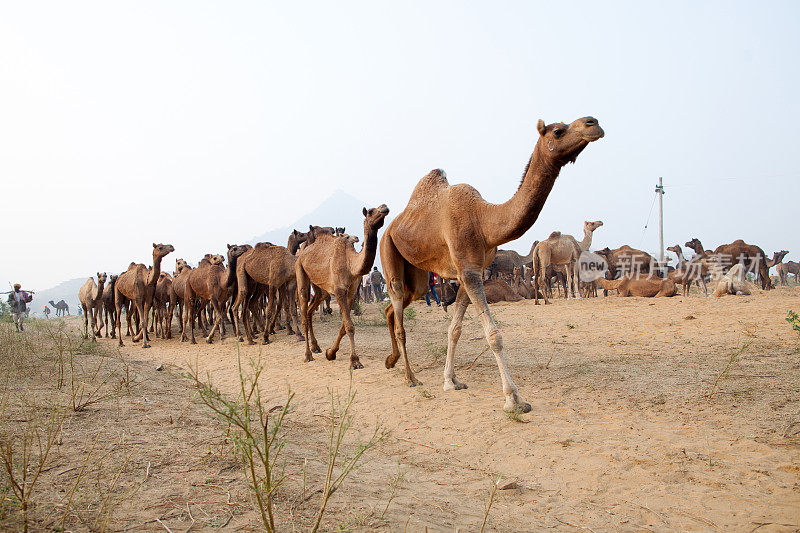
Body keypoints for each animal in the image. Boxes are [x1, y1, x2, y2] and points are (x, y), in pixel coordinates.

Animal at [296, 204, 390, 366]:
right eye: (370, 211)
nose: (384, 207)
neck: (350, 263)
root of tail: (301, 253)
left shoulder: (352, 290)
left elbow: (344, 327)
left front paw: (330, 352)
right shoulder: (339, 290)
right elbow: (349, 326)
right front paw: (355, 360)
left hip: (320, 286)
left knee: (311, 308)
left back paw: (316, 347)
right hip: (300, 270)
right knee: (303, 306)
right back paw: (308, 355)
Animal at [380, 114, 600, 410]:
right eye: (557, 130)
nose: (593, 123)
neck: (483, 220)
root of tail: (393, 225)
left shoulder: (469, 271)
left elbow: (455, 329)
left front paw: (451, 380)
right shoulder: (469, 272)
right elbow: (494, 335)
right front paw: (514, 398)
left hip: (418, 277)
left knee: (394, 308)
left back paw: (391, 361)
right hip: (388, 250)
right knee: (399, 314)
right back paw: (410, 377)